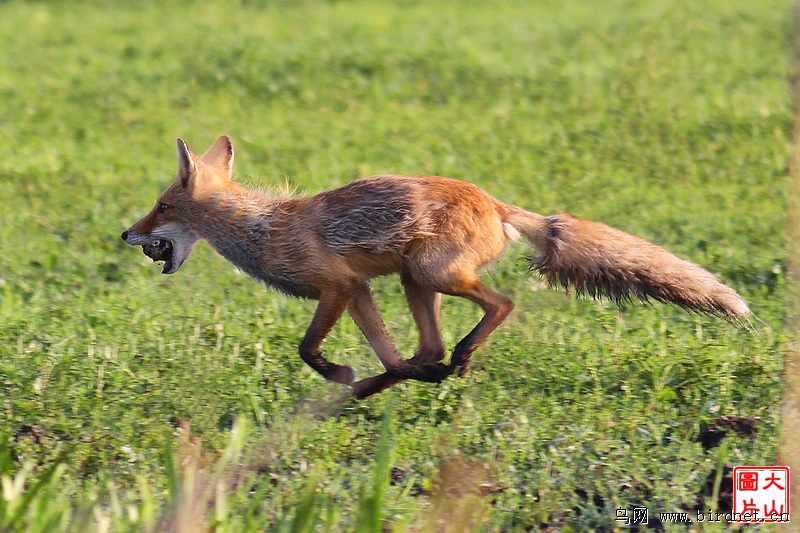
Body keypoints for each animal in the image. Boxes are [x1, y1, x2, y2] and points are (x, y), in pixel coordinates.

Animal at [120, 137, 752, 400]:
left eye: (162, 206)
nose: (125, 234)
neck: (263, 229)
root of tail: (493, 201)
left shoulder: (336, 285)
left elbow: (307, 349)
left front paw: (337, 372)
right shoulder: (359, 289)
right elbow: (382, 351)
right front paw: (357, 379)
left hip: (433, 274)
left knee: (500, 305)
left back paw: (457, 360)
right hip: (413, 281)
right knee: (423, 351)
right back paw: (399, 381)